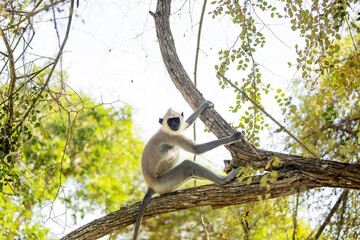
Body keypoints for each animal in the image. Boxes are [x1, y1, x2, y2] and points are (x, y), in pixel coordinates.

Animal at [134, 100, 243, 239]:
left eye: (176, 120)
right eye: (170, 121)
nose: (175, 125)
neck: (165, 129)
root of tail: (150, 185)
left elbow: (186, 125)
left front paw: (204, 105)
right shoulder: (172, 136)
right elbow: (196, 149)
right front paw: (232, 138)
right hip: (164, 182)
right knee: (188, 165)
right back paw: (224, 180)